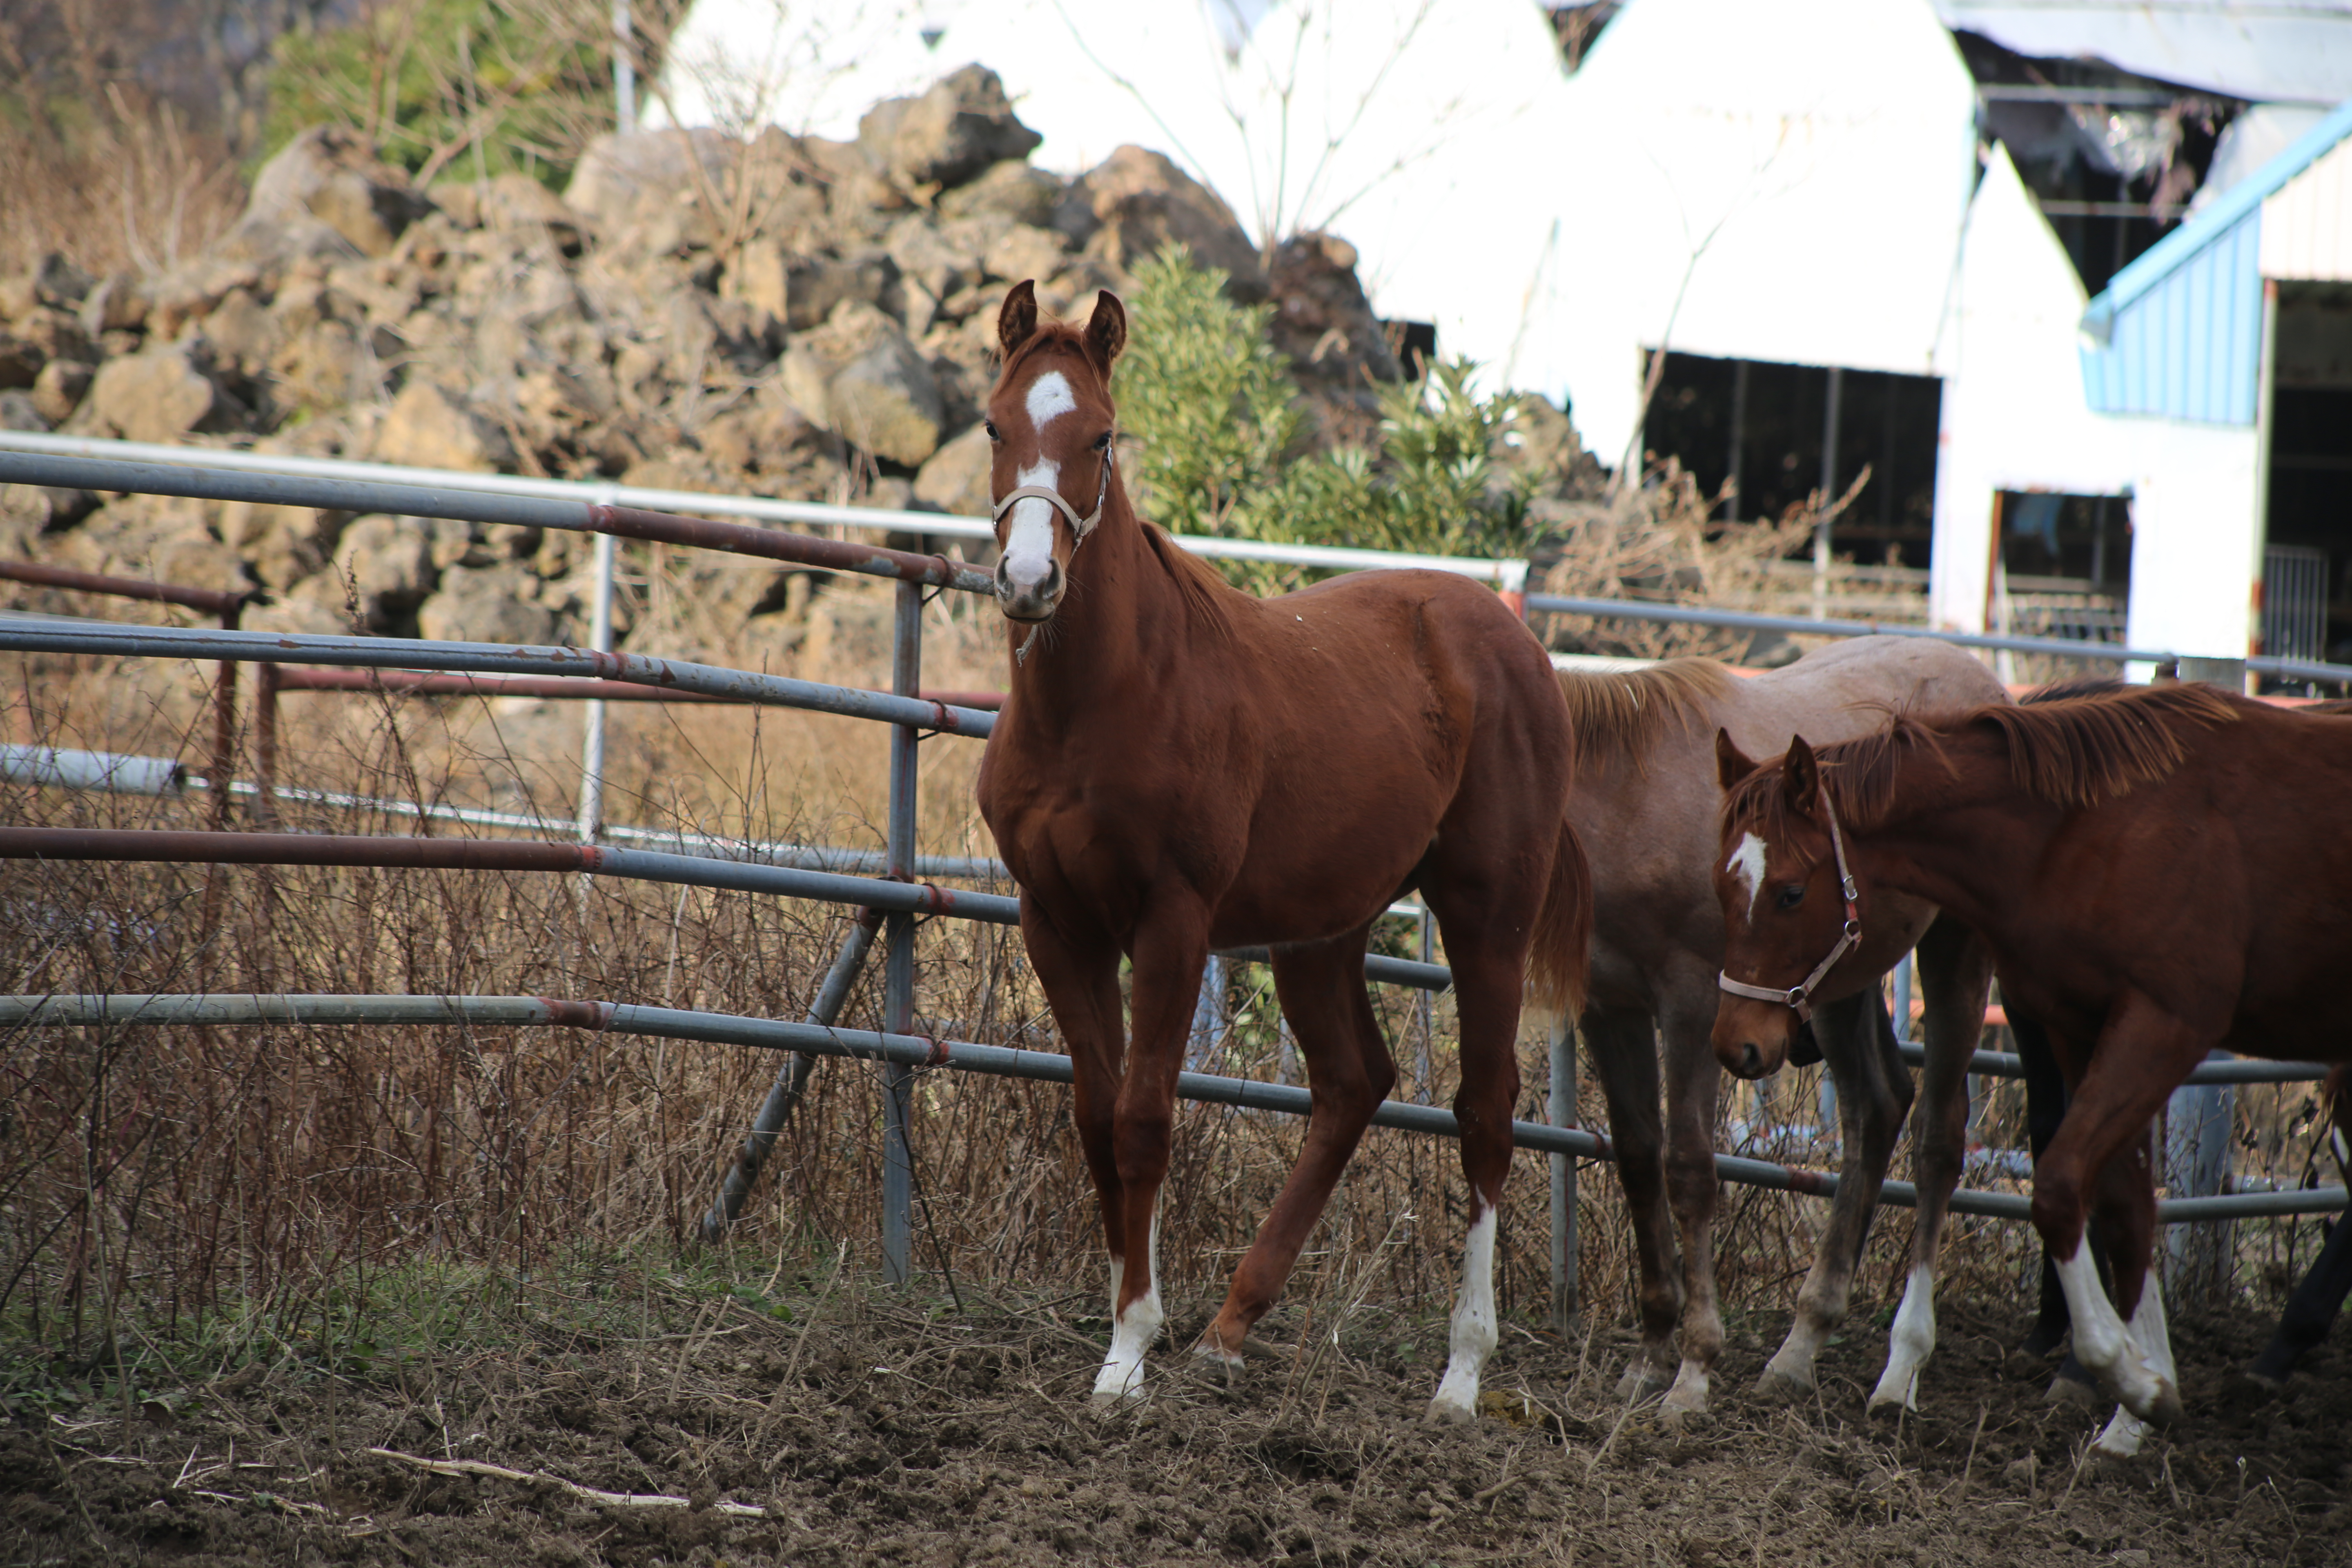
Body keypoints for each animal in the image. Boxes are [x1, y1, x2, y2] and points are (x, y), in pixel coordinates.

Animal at [964, 285, 1590, 1420]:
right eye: (995, 425)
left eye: (1102, 436)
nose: (1029, 581)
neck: (1096, 702)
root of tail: (1516, 642)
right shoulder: (1055, 921)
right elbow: (1093, 1116)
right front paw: (1134, 1330)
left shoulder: (1172, 923)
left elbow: (1143, 1119)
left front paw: (1130, 1350)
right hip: (1321, 932)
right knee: (1351, 1084)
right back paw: (1228, 1330)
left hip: (1489, 918)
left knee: (1484, 1110)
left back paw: (1461, 1372)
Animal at [1552, 639, 1994, 1420]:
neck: (1626, 799)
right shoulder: (1613, 1008)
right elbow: (1637, 1161)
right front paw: (1650, 1354)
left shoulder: (1693, 1005)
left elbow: (1690, 1170)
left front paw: (1693, 1369)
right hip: (1834, 979)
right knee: (1877, 1107)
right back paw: (1801, 1344)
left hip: (1953, 954)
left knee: (1938, 1138)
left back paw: (1899, 1368)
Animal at [1712, 682, 2352, 1429]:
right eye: (1721, 887)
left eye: (1789, 892)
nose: (1735, 1043)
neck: (2088, 826)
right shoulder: (2084, 1026)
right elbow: (2123, 1200)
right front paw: (2144, 1396)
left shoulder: (2165, 1025)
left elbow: (2059, 1186)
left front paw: (2119, 1373)